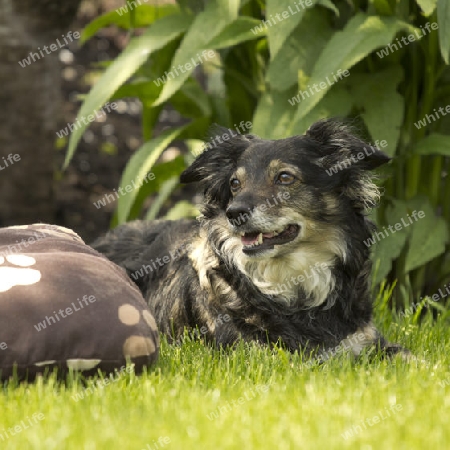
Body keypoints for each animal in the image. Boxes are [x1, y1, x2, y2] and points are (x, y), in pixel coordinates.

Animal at [93, 118, 406, 358]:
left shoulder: (366, 340)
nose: (235, 213)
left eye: (285, 177)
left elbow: (406, 356)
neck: (294, 279)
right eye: (235, 183)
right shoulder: (259, 355)